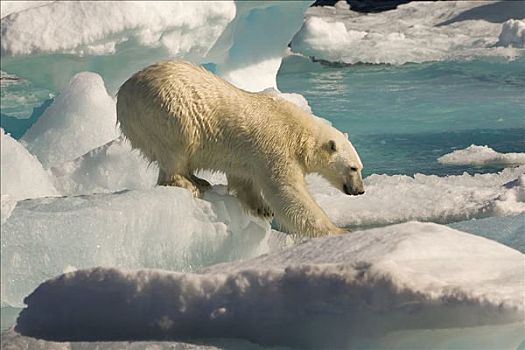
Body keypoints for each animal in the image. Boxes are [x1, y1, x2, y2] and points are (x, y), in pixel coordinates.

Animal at [117, 60, 364, 237]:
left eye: (360, 167)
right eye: (353, 168)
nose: (360, 191)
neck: (298, 133)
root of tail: (123, 93)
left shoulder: (247, 157)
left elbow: (243, 180)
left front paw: (262, 209)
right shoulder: (276, 148)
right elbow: (289, 193)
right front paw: (339, 230)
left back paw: (199, 180)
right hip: (166, 109)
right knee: (176, 148)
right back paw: (189, 182)